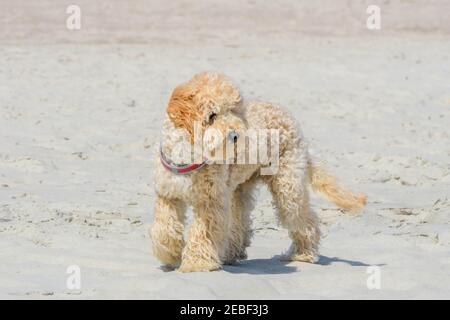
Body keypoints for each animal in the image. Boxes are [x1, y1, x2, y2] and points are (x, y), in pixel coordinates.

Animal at [151, 72, 366, 272]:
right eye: (212, 116)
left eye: (234, 111)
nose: (236, 135)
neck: (189, 155)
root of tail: (287, 115)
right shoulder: (168, 195)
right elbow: (165, 227)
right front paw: (170, 254)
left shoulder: (210, 202)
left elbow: (203, 233)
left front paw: (197, 263)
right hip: (239, 189)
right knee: (240, 221)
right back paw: (232, 253)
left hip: (287, 186)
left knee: (305, 219)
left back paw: (303, 253)